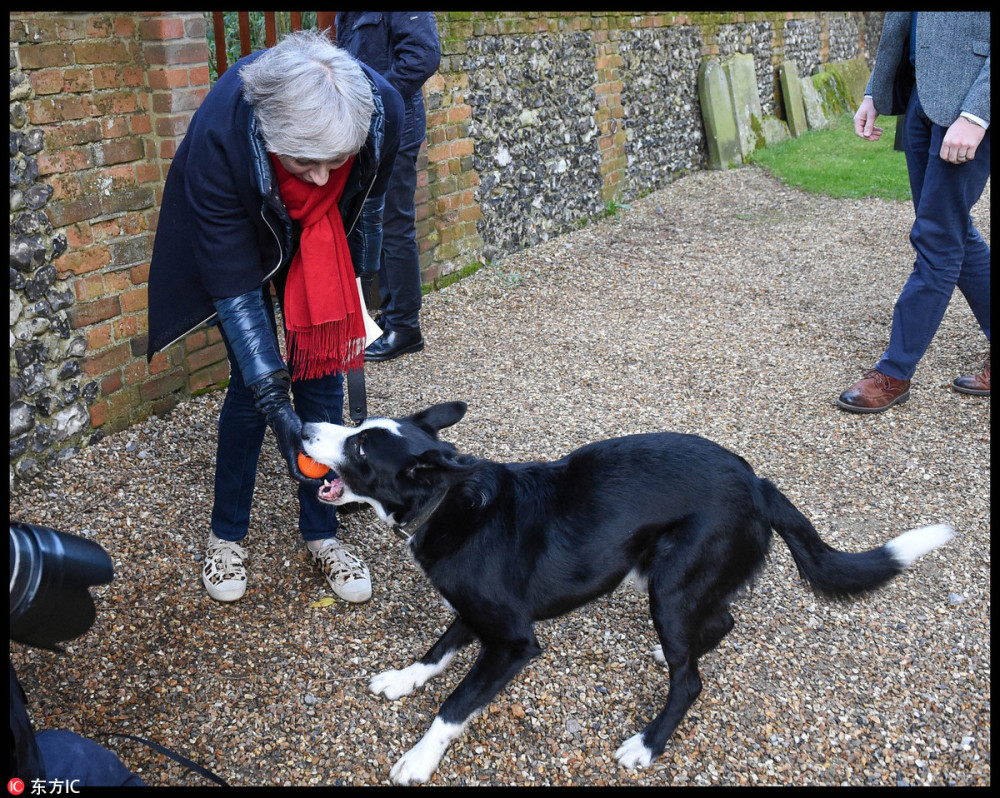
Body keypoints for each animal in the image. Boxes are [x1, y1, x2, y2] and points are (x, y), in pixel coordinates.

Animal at [302, 406, 952, 788]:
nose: (302, 426)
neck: (448, 502)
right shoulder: (474, 612)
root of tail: (758, 483)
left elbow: (455, 704)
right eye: (355, 427)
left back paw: (647, 743)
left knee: (691, 681)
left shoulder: (512, 641)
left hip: (670, 583)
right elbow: (436, 653)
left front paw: (419, 758)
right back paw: (674, 652)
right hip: (663, 579)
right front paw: (402, 679)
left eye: (361, 451)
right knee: (721, 623)